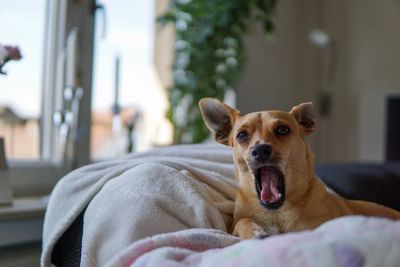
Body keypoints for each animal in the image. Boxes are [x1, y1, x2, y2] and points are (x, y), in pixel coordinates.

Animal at [199, 97, 400, 240]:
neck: (276, 213)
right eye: (241, 135)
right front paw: (254, 231)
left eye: (283, 130)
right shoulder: (233, 226)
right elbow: (241, 222)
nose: (260, 150)